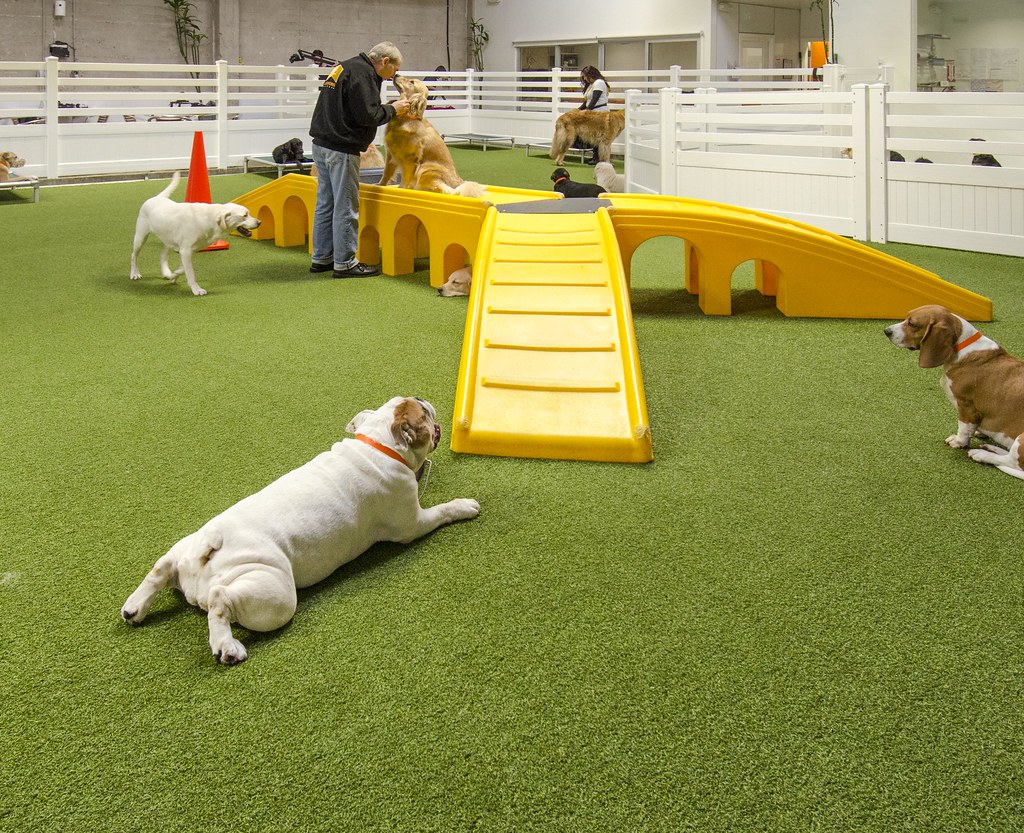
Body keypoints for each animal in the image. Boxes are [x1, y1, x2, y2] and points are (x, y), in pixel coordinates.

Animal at [121, 395, 481, 663]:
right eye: (423, 412)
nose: (423, 398)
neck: (379, 443)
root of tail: (210, 546)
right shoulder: (413, 522)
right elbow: (442, 510)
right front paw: (464, 505)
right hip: (275, 592)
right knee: (220, 599)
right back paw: (227, 647)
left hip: (185, 547)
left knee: (160, 569)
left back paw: (134, 608)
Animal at [129, 171, 260, 295]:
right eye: (244, 215)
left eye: (249, 213)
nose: (259, 222)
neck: (210, 219)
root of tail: (156, 197)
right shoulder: (185, 250)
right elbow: (190, 272)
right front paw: (196, 289)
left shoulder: (189, 250)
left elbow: (183, 269)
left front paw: (173, 276)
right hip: (140, 237)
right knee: (134, 255)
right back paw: (134, 273)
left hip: (168, 238)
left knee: (162, 255)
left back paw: (166, 272)